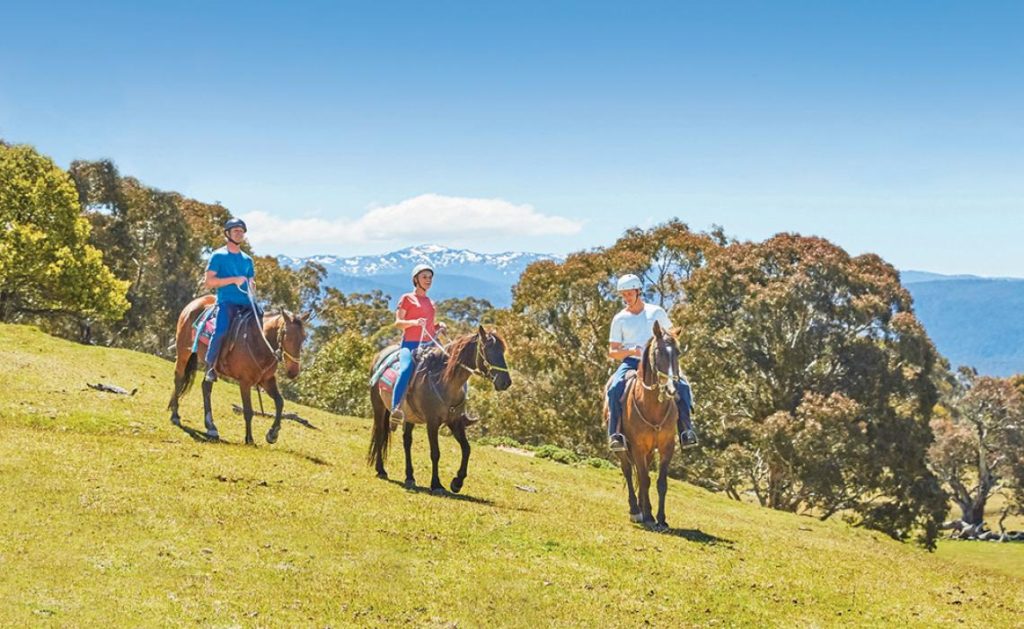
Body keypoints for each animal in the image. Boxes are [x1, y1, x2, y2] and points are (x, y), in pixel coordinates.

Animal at [164, 299, 303, 446]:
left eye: (303, 338)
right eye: (286, 335)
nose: (293, 372)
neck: (258, 341)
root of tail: (195, 302)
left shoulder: (267, 380)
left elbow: (280, 402)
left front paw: (272, 434)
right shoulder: (245, 382)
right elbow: (248, 410)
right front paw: (249, 439)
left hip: (210, 366)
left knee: (205, 387)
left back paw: (211, 427)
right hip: (183, 352)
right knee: (179, 379)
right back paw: (175, 416)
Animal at [368, 327, 512, 495]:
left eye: (502, 351)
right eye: (487, 350)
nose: (506, 382)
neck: (444, 381)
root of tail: (380, 355)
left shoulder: (455, 422)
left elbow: (466, 449)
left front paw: (457, 482)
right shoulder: (432, 423)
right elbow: (435, 453)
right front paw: (436, 484)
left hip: (409, 416)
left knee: (407, 441)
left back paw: (410, 477)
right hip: (379, 407)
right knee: (380, 435)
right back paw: (381, 470)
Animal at [602, 319, 684, 532]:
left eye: (678, 352)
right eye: (658, 352)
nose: (672, 389)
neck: (653, 406)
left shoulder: (666, 447)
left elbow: (660, 482)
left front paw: (661, 519)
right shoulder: (637, 446)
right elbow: (644, 479)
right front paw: (647, 516)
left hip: (648, 451)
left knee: (640, 473)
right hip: (624, 449)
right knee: (629, 472)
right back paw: (636, 511)